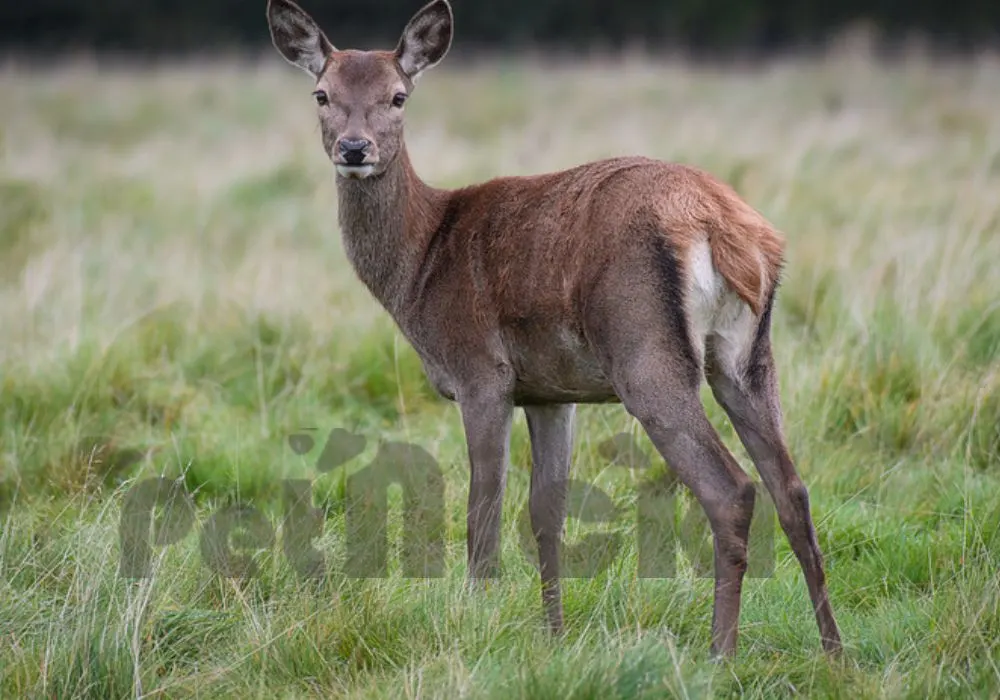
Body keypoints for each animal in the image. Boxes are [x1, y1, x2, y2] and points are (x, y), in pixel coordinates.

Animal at [265, 0, 842, 657]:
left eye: (398, 96)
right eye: (322, 94)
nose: (354, 148)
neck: (421, 265)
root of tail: (723, 225)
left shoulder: (481, 372)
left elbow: (482, 510)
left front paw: (477, 621)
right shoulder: (550, 391)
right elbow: (547, 513)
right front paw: (554, 636)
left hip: (647, 353)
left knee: (733, 489)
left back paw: (720, 652)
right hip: (748, 356)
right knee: (792, 488)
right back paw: (834, 650)